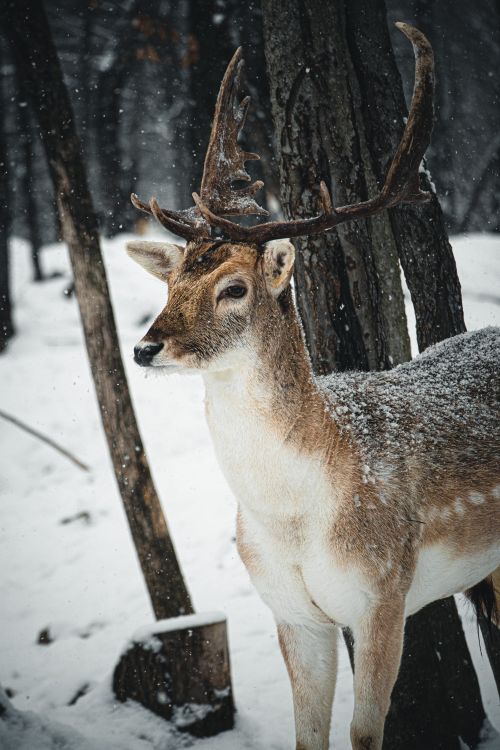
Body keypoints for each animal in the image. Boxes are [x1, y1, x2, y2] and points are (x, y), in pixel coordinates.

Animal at [125, 23, 500, 750]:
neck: (295, 518)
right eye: (172, 279)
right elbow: (308, 735)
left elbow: (364, 733)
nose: (145, 346)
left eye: (234, 288)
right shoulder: (292, 612)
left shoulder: (384, 592)